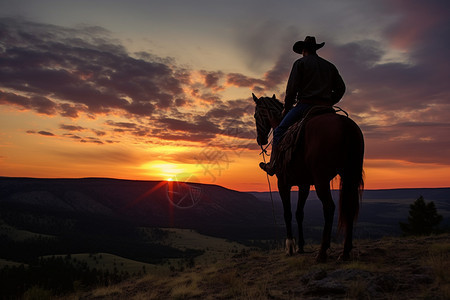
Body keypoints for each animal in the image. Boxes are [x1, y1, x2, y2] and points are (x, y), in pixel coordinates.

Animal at [251, 92, 364, 262]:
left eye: (255, 115)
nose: (260, 140)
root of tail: (345, 126)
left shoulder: (283, 183)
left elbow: (287, 213)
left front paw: (290, 247)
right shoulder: (303, 185)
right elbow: (299, 213)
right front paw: (301, 246)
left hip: (321, 179)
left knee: (329, 207)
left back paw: (322, 252)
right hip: (349, 174)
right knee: (349, 206)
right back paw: (345, 252)